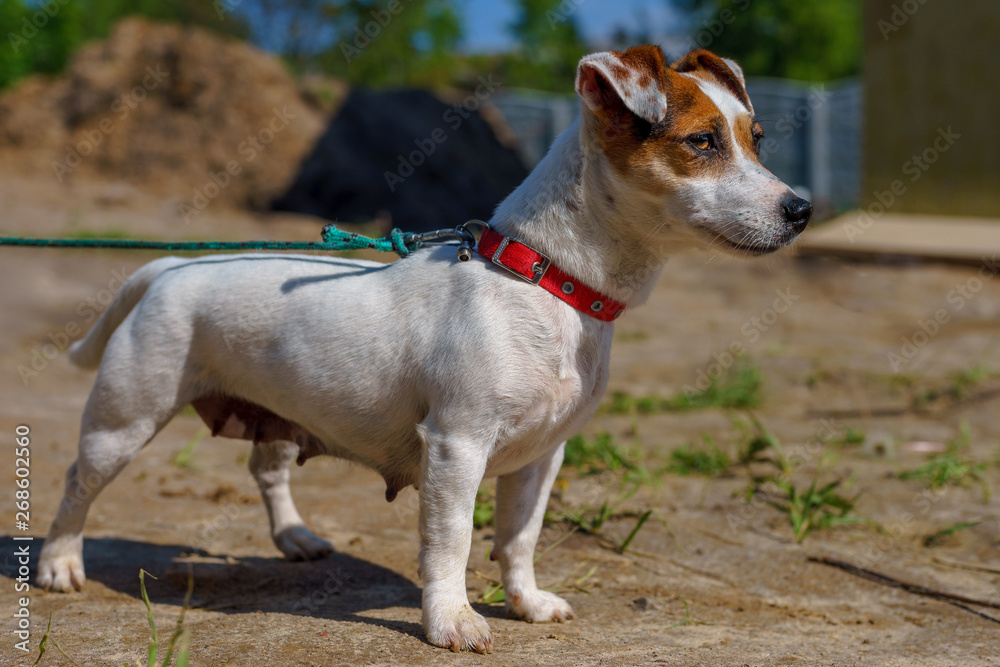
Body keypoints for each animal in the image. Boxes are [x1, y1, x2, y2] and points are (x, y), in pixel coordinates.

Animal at [37, 45, 812, 652]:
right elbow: (452, 541)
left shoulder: (544, 456)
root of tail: (172, 266)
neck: (546, 280)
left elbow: (519, 538)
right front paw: (451, 621)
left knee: (266, 466)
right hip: (123, 420)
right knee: (77, 483)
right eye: (703, 142)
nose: (801, 209)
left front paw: (527, 602)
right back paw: (59, 565)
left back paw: (295, 536)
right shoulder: (457, 445)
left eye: (756, 137)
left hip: (280, 411)